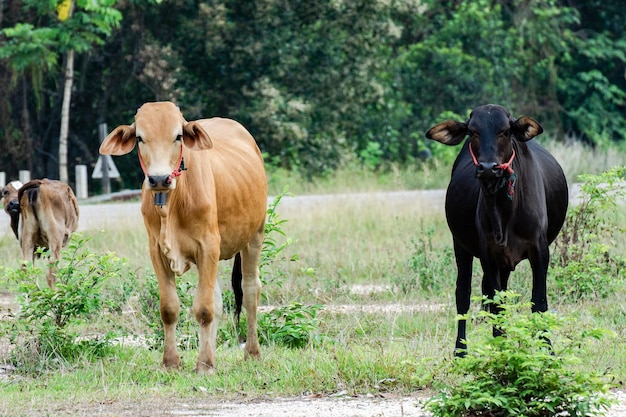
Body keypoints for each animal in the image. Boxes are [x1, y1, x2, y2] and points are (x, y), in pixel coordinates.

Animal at [98, 101, 266, 374]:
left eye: (178, 136)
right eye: (140, 138)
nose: (158, 178)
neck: (172, 204)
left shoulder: (208, 246)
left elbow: (204, 309)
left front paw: (204, 365)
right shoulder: (157, 251)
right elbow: (170, 308)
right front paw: (172, 362)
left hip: (255, 236)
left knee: (250, 290)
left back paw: (251, 352)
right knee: (218, 300)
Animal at [424, 104, 564, 354]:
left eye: (506, 131)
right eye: (472, 132)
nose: (489, 168)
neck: (504, 212)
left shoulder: (540, 250)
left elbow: (539, 302)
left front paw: (547, 351)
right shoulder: (487, 254)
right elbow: (496, 305)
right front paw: (500, 347)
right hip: (461, 246)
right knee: (463, 295)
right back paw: (461, 351)